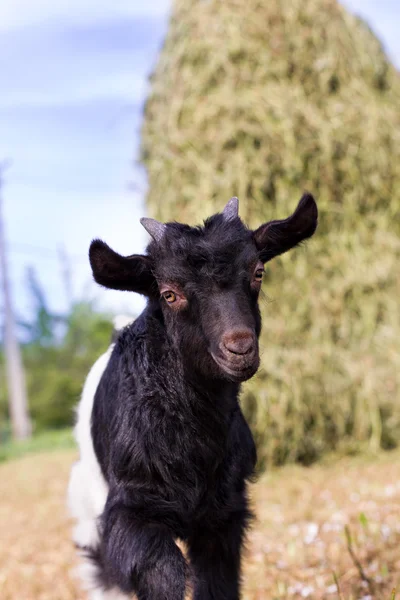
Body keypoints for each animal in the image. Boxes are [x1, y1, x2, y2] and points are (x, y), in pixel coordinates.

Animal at [68, 193, 318, 600]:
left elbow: (218, 582)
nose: (240, 348)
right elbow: (162, 571)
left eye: (258, 272)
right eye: (169, 293)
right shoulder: (131, 511)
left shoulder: (224, 513)